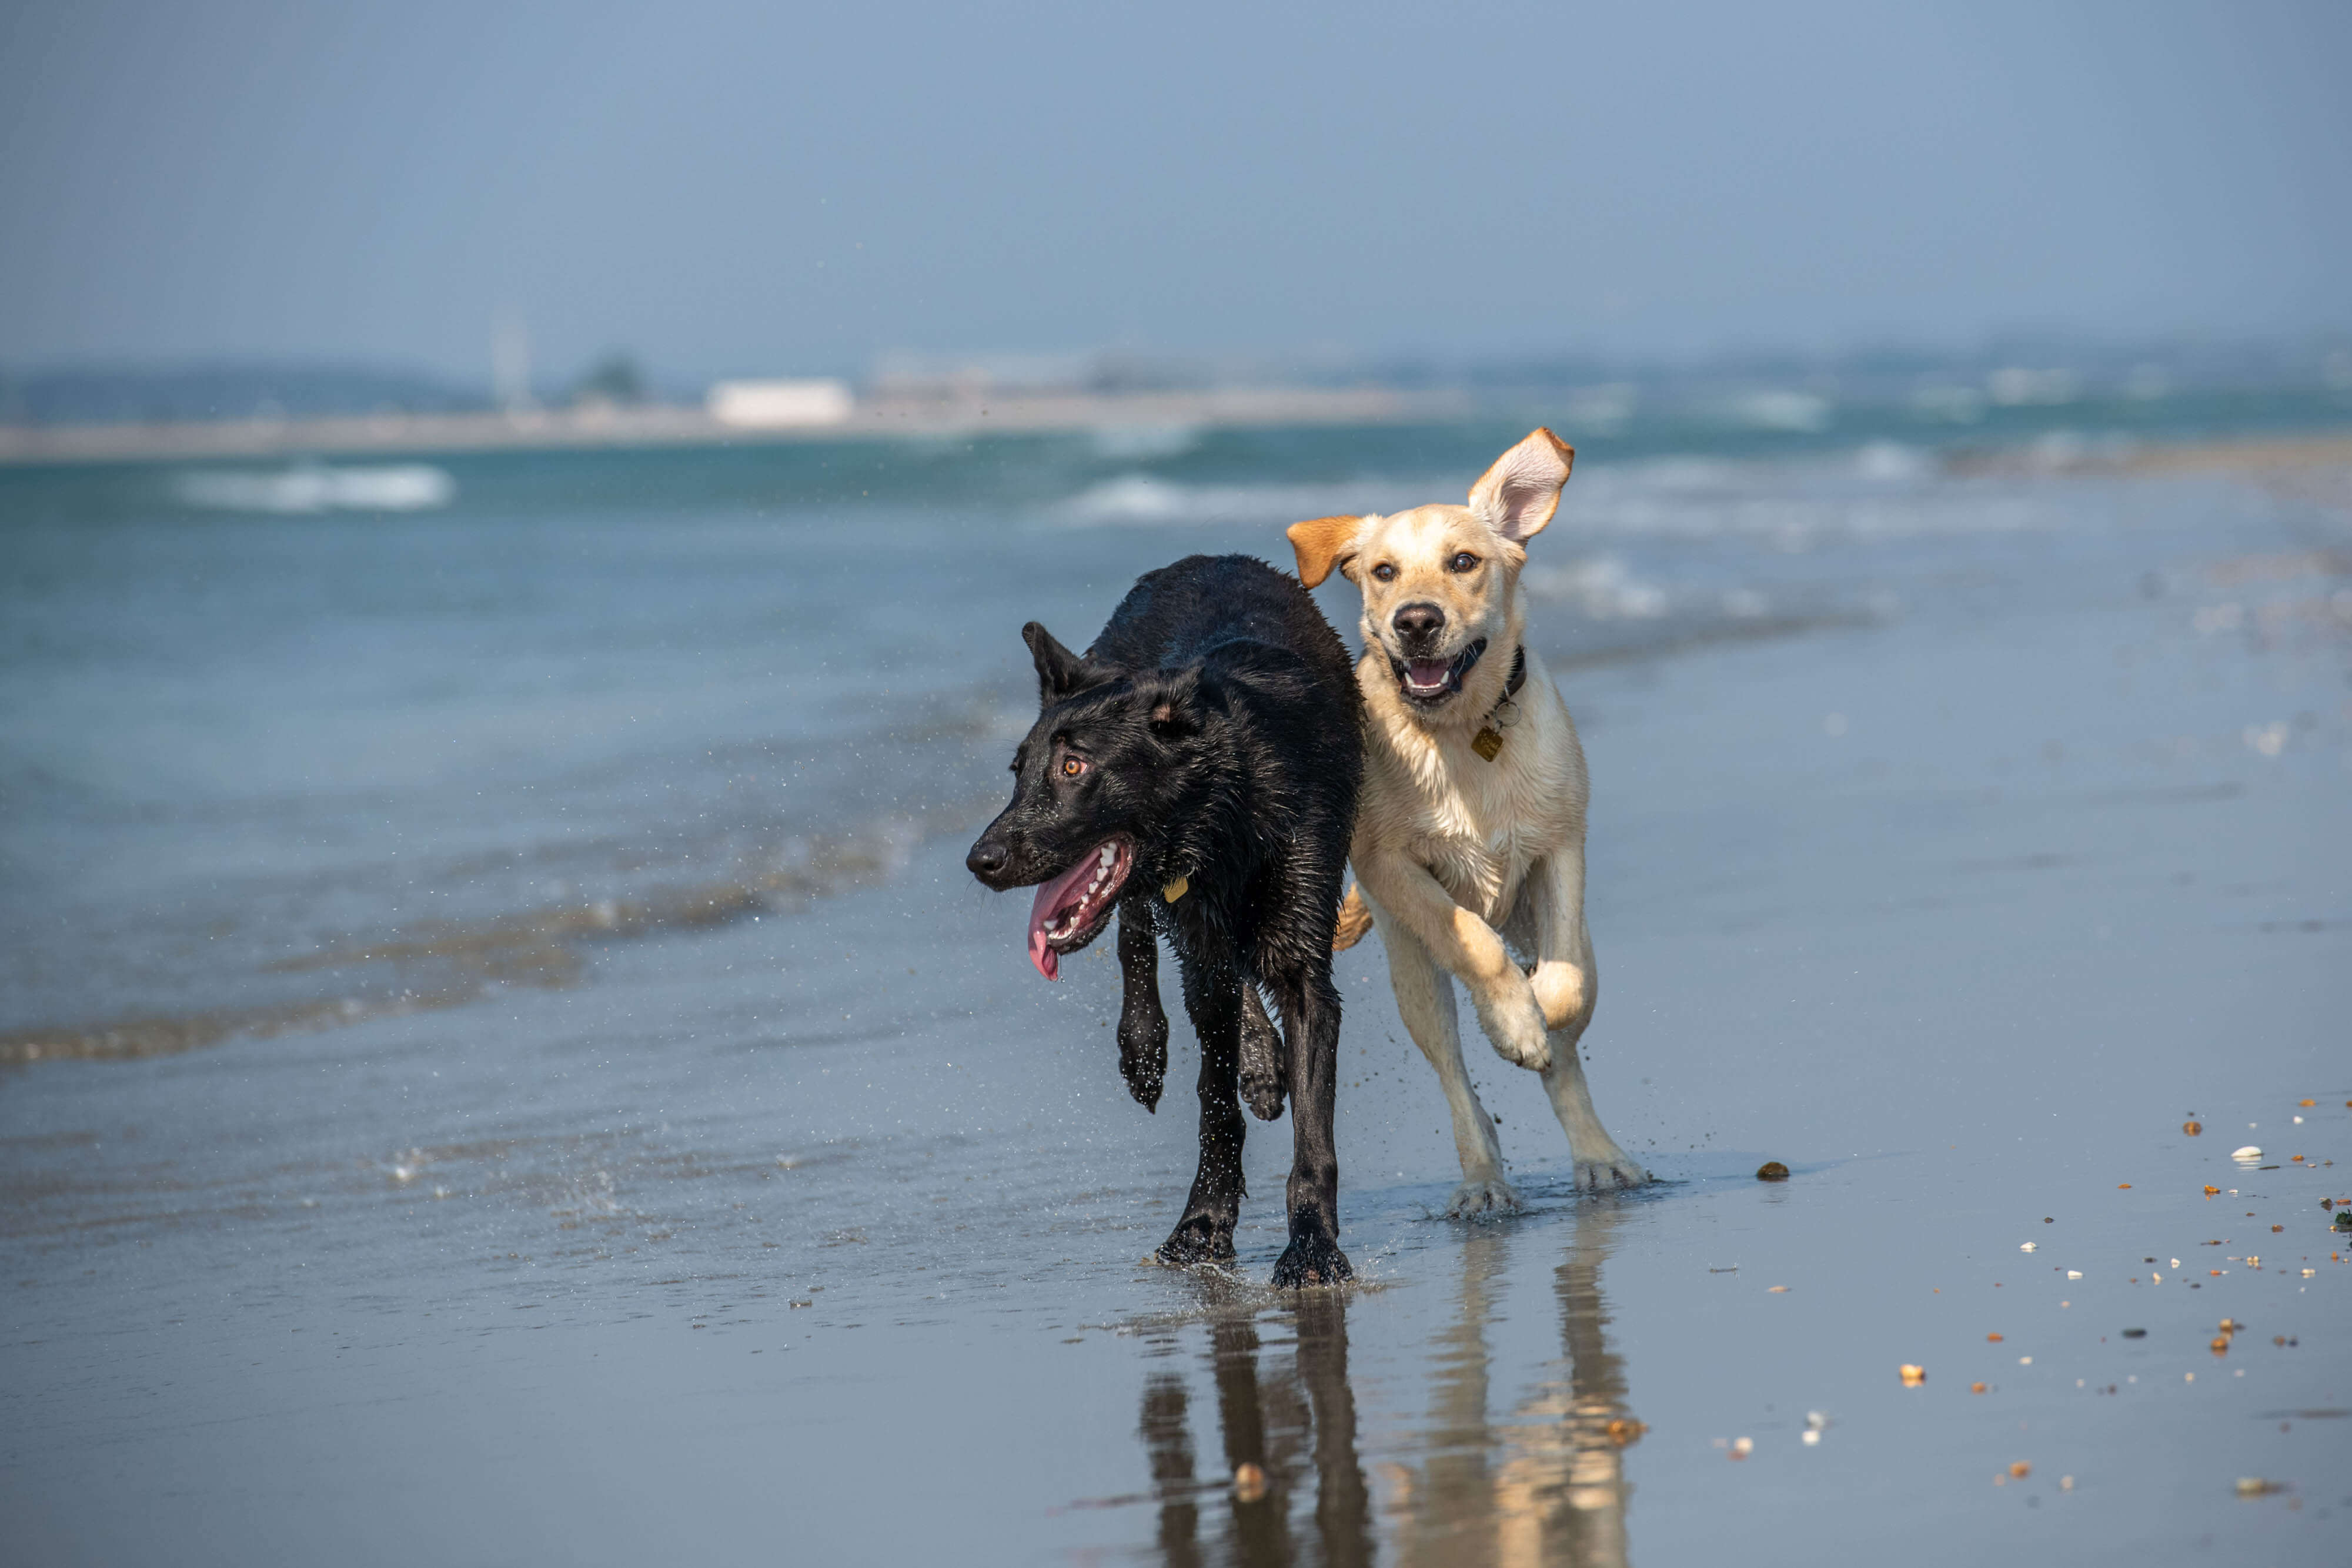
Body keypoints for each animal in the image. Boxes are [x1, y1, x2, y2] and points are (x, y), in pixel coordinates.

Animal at [969, 554, 1364, 1288]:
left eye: (1074, 766)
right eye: (1018, 771)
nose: (981, 860)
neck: (1227, 811)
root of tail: (1198, 560)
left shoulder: (1303, 966)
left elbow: (1311, 1133)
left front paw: (1311, 1248)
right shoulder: (1199, 944)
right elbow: (1215, 1105)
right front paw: (1204, 1223)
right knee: (1137, 934)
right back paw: (1149, 1048)